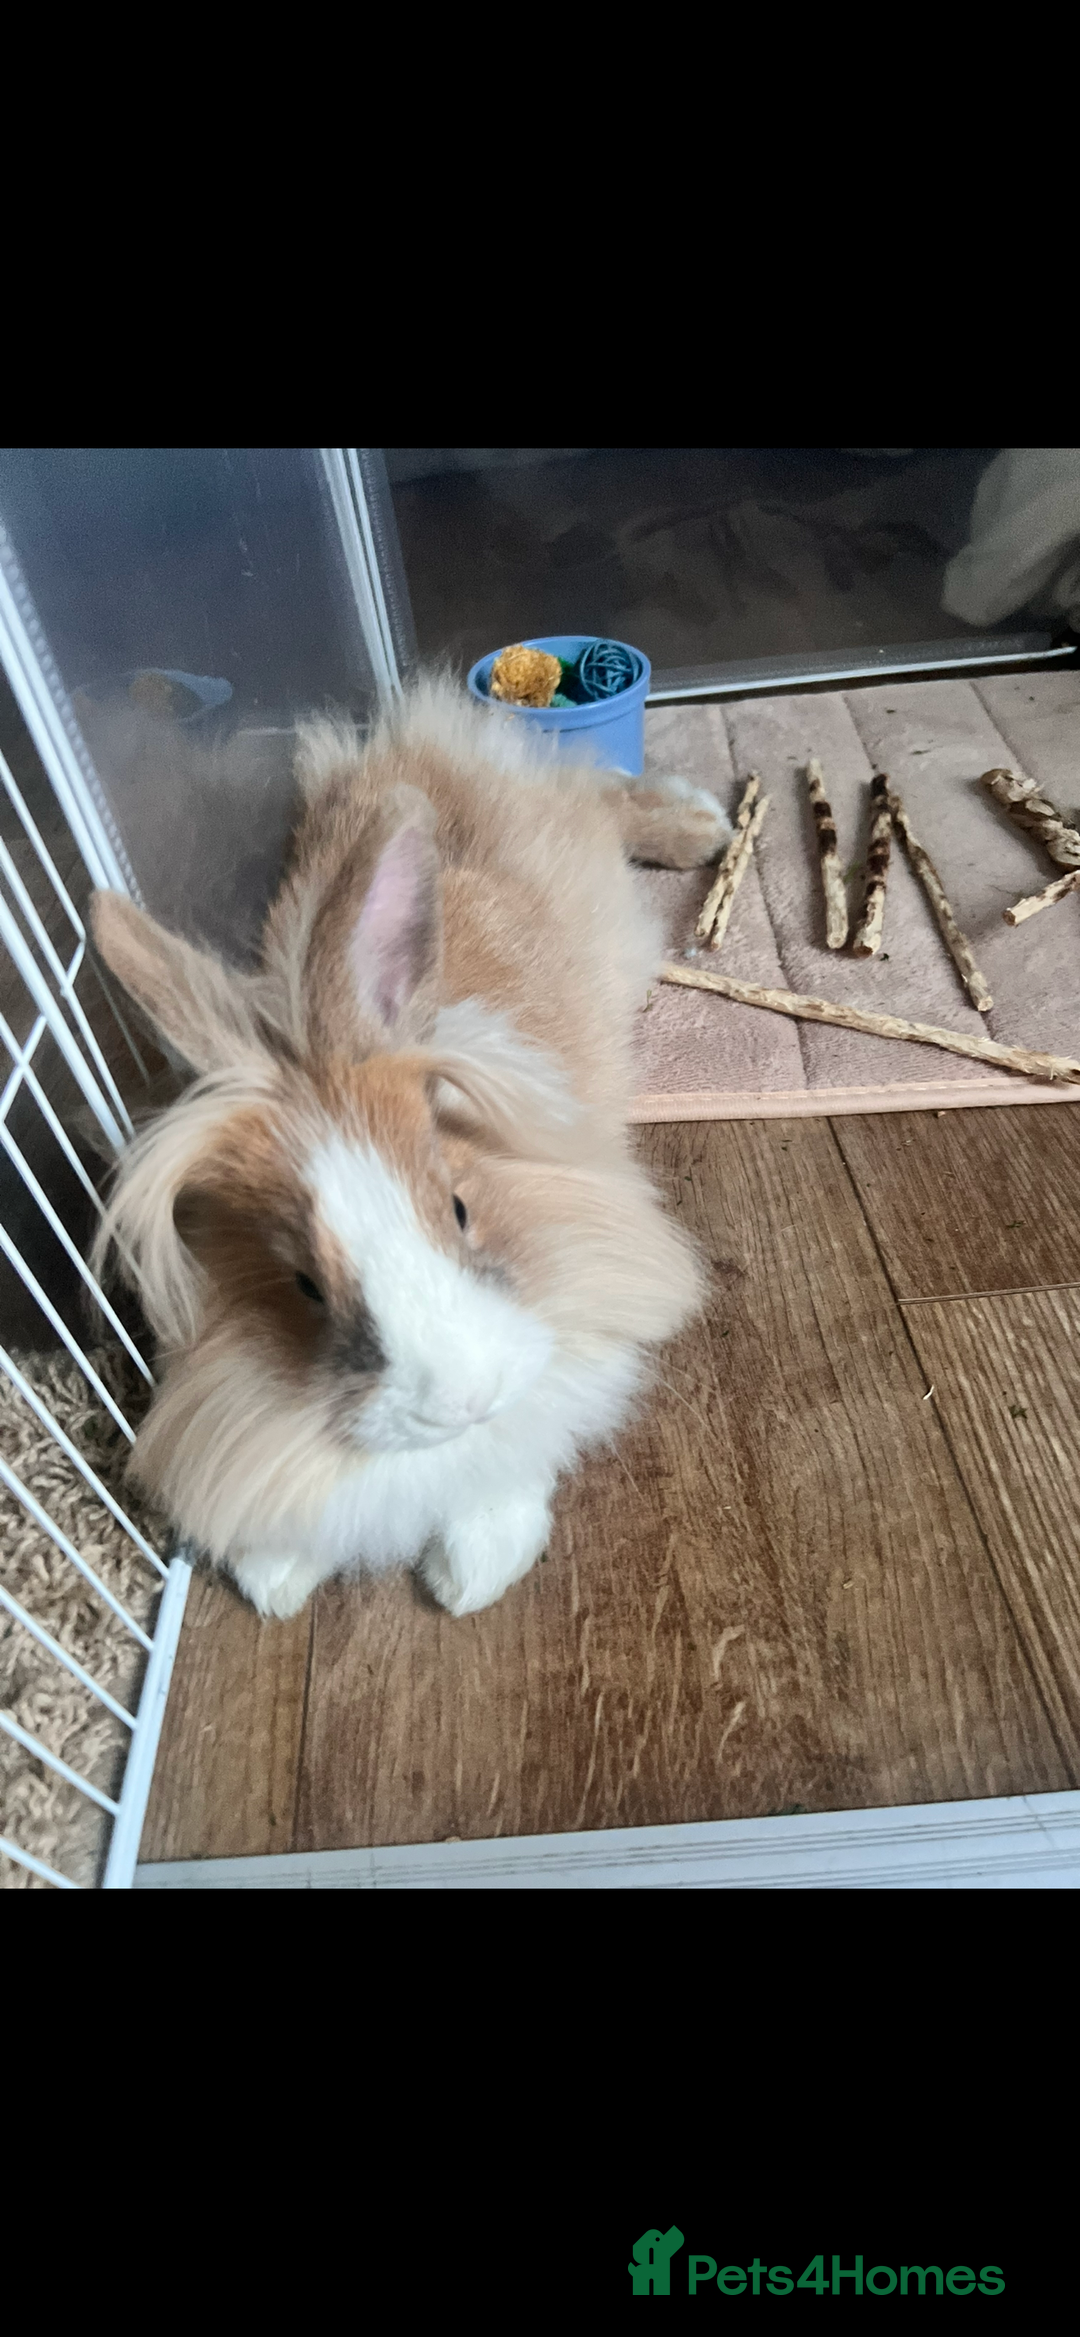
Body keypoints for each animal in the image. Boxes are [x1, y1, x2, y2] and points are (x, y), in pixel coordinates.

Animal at [89, 674, 732, 1620]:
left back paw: (701, 825)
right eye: (304, 1286)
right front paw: (275, 1578)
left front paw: (474, 1571)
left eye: (459, 1208)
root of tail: (403, 752)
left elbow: (520, 1441)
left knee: (600, 788)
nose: (461, 1402)